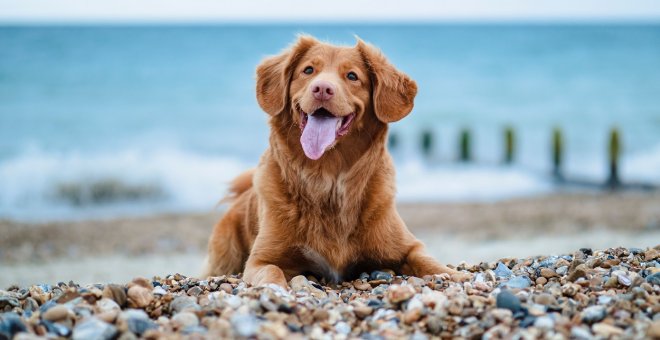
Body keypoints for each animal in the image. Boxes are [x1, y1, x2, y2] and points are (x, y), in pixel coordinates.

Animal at [204, 35, 462, 288]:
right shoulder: (260, 259)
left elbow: (428, 261)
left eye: (352, 76)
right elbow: (271, 271)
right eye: (308, 70)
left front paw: (454, 275)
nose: (322, 89)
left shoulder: (408, 246)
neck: (327, 177)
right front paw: (275, 290)